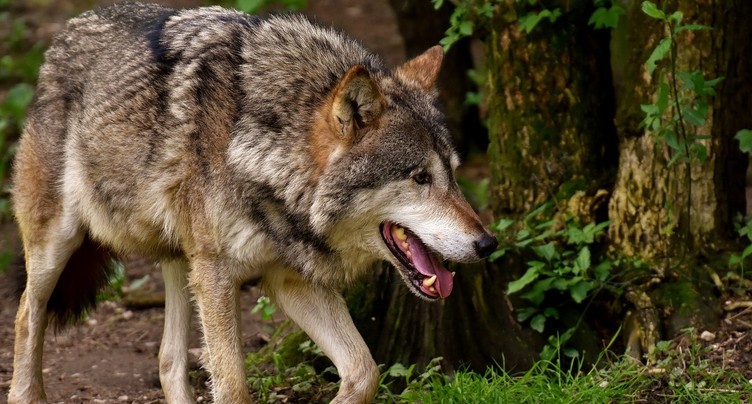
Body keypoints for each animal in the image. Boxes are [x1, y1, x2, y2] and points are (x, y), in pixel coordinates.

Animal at [7, 2, 498, 403]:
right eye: (420, 178)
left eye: (453, 174)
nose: (488, 244)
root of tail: (67, 31)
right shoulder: (220, 276)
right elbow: (234, 388)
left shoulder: (289, 280)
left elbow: (364, 371)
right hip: (61, 244)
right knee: (26, 315)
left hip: (183, 261)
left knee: (168, 361)